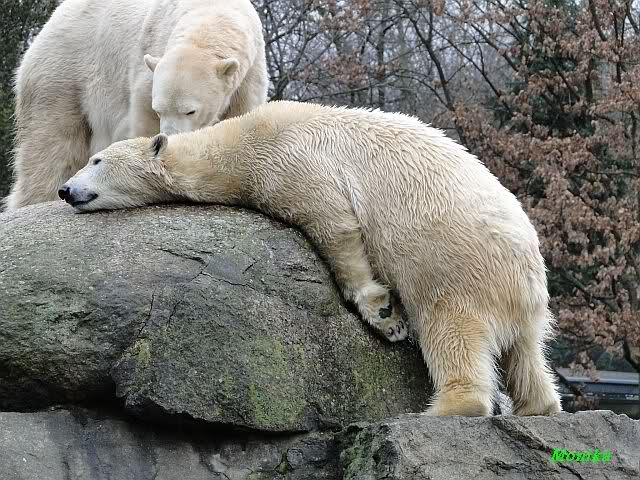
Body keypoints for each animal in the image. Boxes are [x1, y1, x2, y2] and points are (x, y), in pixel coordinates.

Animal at [5, 0, 268, 210]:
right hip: (61, 76)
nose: (171, 136)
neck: (212, 14)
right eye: (159, 109)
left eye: (190, 110)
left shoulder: (248, 79)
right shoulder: (147, 66)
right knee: (51, 146)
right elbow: (144, 125)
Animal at [59, 100, 563, 417]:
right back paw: (538, 405)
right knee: (527, 355)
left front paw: (385, 315)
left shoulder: (294, 163)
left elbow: (334, 224)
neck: (242, 141)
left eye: (97, 161)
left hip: (456, 267)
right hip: (523, 300)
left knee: (453, 331)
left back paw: (442, 409)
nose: (65, 189)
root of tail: (529, 278)